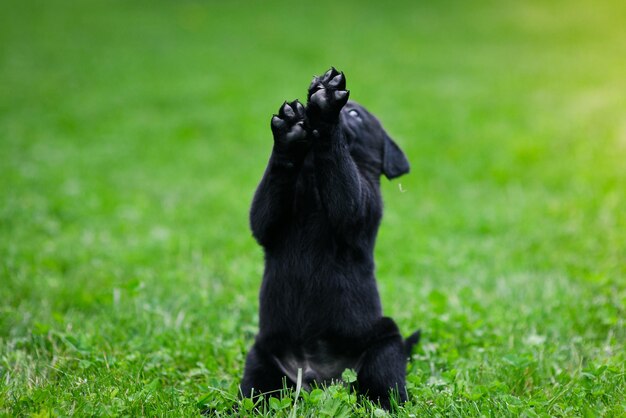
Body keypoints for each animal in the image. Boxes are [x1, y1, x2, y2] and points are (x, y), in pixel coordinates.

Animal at [240, 68, 420, 408]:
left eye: (356, 115)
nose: (314, 103)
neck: (312, 178)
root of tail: (318, 379)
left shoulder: (358, 205)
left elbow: (336, 161)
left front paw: (325, 105)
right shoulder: (267, 223)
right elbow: (274, 182)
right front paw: (289, 131)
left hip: (385, 345)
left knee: (387, 387)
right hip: (260, 359)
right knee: (253, 396)